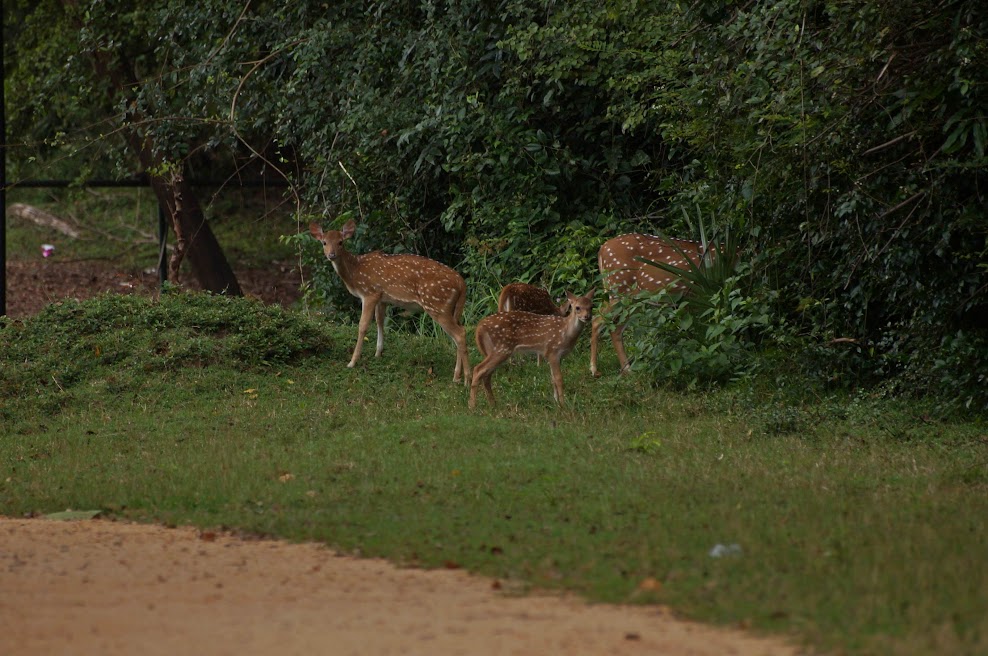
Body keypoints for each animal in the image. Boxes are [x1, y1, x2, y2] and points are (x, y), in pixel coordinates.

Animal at [312, 220, 474, 384]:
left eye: (341, 242)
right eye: (324, 242)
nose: (331, 255)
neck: (354, 272)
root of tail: (462, 284)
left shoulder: (370, 293)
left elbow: (363, 326)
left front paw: (352, 362)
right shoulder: (382, 298)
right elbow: (380, 321)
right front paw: (378, 353)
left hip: (437, 305)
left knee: (460, 334)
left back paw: (466, 379)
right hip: (451, 308)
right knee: (459, 332)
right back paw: (457, 376)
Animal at [592, 233, 708, 376]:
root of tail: (602, 248)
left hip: (631, 298)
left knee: (614, 327)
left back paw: (626, 369)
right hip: (620, 291)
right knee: (597, 319)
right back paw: (596, 370)